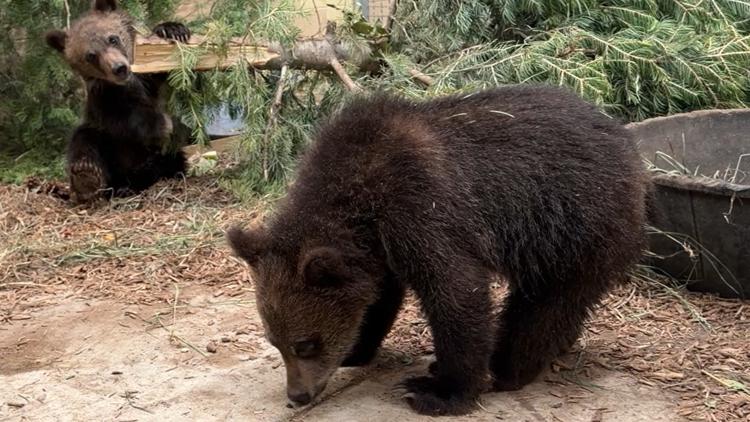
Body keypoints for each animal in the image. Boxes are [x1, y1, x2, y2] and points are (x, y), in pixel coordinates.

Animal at [45, 0, 192, 204]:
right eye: (91, 56)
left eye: (112, 38)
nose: (119, 68)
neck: (128, 84)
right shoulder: (105, 100)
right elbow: (127, 119)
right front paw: (167, 123)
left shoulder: (147, 82)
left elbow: (162, 74)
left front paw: (172, 29)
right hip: (105, 143)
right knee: (83, 140)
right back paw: (87, 175)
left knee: (172, 160)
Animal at [227, 85, 648, 416]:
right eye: (275, 342)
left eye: (305, 344)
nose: (297, 395)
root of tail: (628, 144)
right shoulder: (379, 248)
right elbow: (379, 296)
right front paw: (358, 348)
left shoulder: (421, 207)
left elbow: (455, 291)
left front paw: (440, 392)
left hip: (573, 224)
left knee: (545, 304)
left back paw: (509, 368)